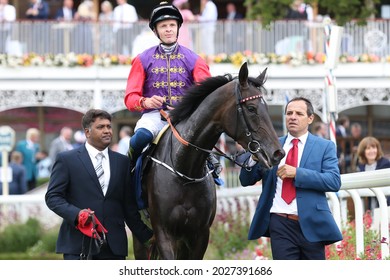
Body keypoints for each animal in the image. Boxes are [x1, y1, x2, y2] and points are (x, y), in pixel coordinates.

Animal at [133, 62, 284, 260]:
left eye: (267, 107)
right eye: (251, 108)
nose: (277, 152)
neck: (184, 169)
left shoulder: (200, 234)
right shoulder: (164, 233)